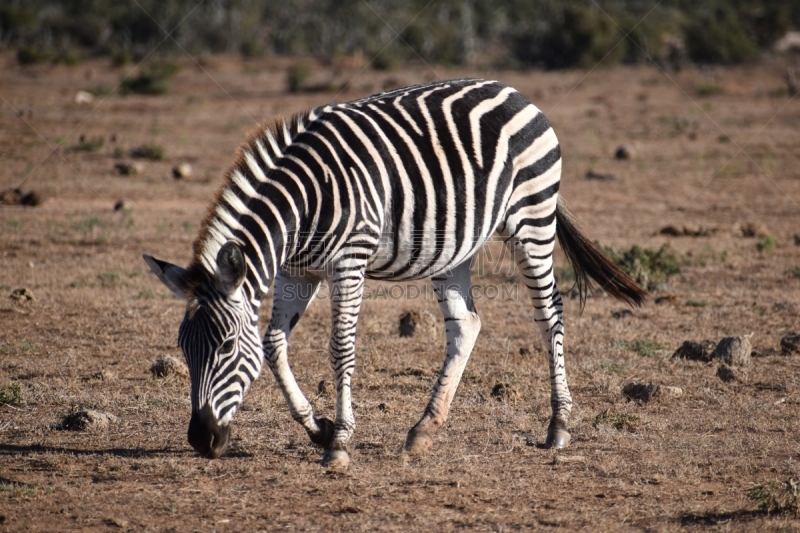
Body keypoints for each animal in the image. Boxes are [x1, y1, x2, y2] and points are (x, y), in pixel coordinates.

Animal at [142, 78, 644, 466]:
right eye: (183, 348)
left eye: (225, 347)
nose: (201, 440)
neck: (301, 205)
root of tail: (514, 91)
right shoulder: (296, 271)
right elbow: (273, 344)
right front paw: (318, 427)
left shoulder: (348, 262)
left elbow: (340, 348)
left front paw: (339, 443)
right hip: (456, 246)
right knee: (466, 323)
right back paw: (424, 428)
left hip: (532, 219)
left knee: (549, 313)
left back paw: (558, 426)